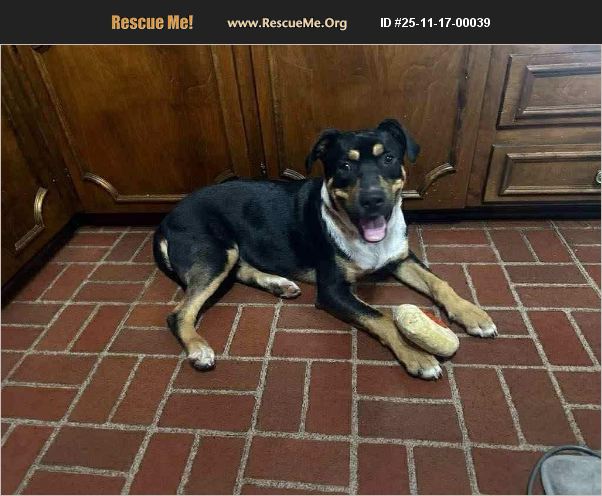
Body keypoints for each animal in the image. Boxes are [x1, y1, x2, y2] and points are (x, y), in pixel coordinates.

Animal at [153, 119, 497, 379]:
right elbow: (380, 316)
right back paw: (199, 348)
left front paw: (473, 314)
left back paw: (278, 284)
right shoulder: (332, 290)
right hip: (214, 253)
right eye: (344, 165)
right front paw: (417, 355)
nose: (373, 199)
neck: (363, 236)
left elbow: (440, 282)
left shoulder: (400, 257)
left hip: (228, 253)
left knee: (240, 270)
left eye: (388, 158)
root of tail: (166, 219)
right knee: (179, 314)